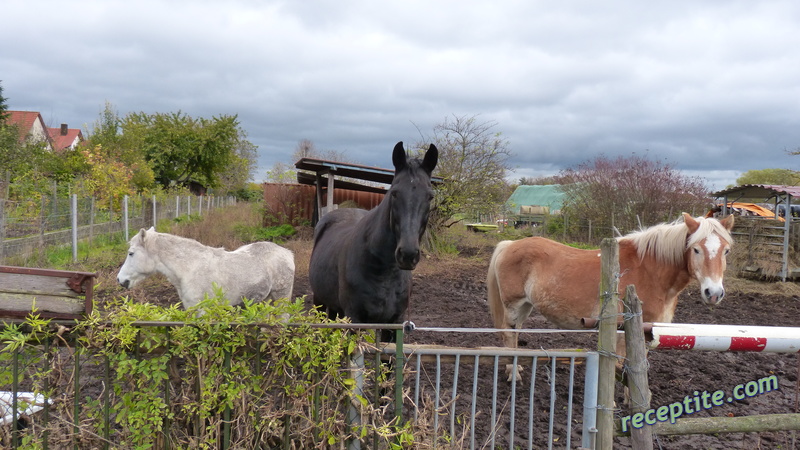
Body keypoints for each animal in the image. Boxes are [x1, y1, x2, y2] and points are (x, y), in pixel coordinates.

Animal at [117, 229, 296, 310]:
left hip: (281, 297)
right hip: (266, 298)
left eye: (131, 253)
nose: (120, 280)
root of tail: (287, 253)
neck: (190, 268)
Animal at [310, 142, 440, 338]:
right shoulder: (354, 319)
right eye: (394, 193)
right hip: (319, 302)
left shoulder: (395, 322)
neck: (384, 271)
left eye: (430, 196)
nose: (408, 254)